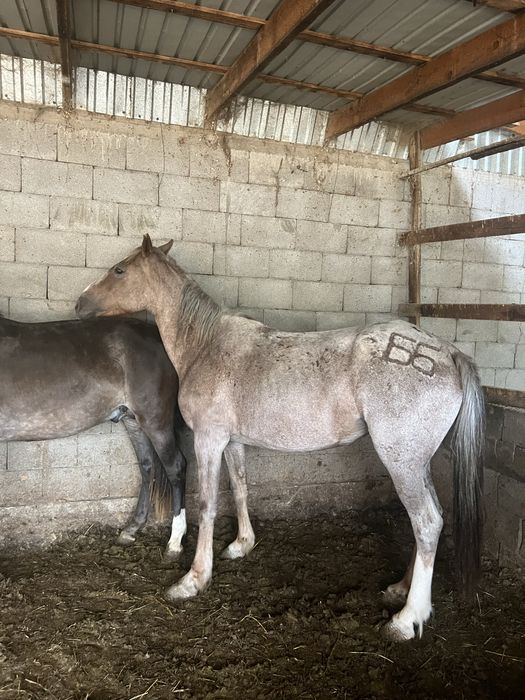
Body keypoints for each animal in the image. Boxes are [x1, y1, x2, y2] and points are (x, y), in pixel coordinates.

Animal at [0, 315, 188, 560]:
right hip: (134, 421)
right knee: (147, 466)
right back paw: (131, 529)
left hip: (155, 422)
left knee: (176, 468)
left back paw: (174, 543)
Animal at [76, 234, 485, 642]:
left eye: (119, 270)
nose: (80, 303)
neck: (205, 345)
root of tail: (449, 353)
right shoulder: (232, 442)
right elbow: (240, 487)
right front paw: (241, 545)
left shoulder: (208, 440)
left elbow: (207, 505)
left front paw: (193, 579)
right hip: (417, 462)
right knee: (433, 516)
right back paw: (401, 588)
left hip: (402, 461)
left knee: (426, 521)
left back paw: (408, 617)